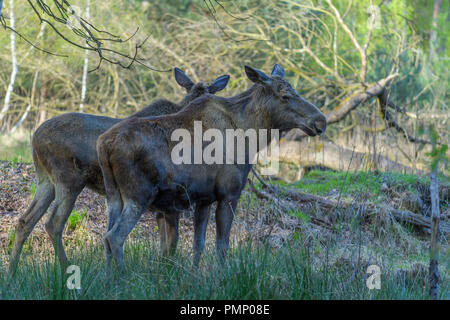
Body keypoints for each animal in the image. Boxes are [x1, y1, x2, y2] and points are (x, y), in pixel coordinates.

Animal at [8, 67, 230, 272]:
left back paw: (12, 271)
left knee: (25, 221)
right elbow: (171, 244)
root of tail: (34, 139)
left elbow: (164, 244)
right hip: (69, 180)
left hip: (45, 180)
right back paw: (65, 267)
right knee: (53, 223)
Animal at [96, 65, 326, 270]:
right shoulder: (229, 194)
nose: (321, 121)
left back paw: (109, 279)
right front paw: (222, 277)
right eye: (285, 96)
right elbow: (222, 246)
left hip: (114, 196)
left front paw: (195, 275)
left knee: (106, 237)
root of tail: (104, 144)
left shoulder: (204, 199)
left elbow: (198, 244)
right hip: (138, 195)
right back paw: (123, 277)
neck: (250, 135)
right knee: (115, 237)